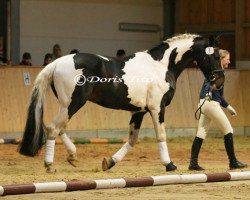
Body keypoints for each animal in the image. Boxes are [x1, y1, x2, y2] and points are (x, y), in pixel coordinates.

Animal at [19, 33, 221, 173]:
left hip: (68, 105)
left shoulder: (139, 111)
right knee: (53, 128)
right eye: (216, 56)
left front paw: (109, 162)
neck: (161, 65)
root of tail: (56, 63)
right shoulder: (157, 108)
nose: (219, 81)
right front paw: (169, 165)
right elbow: (161, 136)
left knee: (58, 128)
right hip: (72, 104)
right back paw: (50, 165)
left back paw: (73, 156)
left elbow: (132, 140)